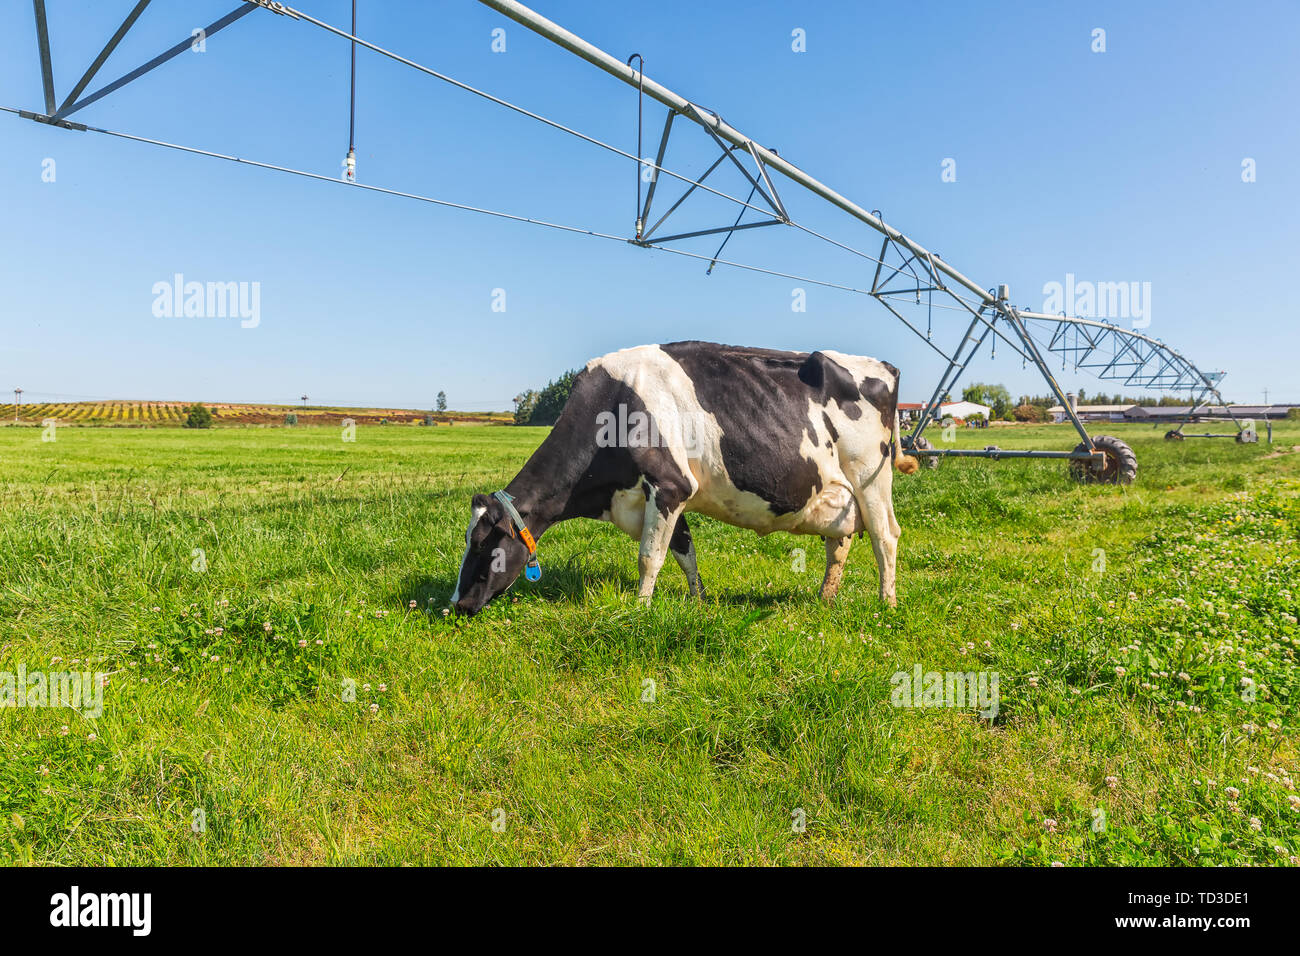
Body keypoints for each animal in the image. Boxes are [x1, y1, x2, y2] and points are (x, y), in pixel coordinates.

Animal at [451, 341, 918, 616]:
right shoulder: (665, 495)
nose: (454, 605)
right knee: (839, 541)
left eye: (485, 545)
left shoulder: (669, 485)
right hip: (837, 492)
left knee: (885, 536)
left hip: (871, 478)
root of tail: (883, 366)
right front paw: (698, 599)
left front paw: (639, 609)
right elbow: (683, 551)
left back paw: (887, 603)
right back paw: (825, 598)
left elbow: (649, 557)